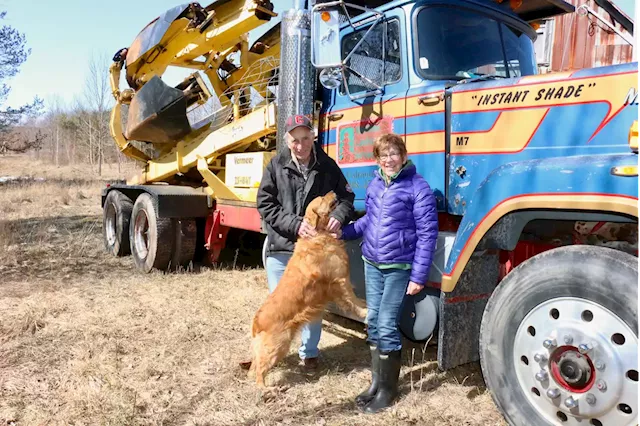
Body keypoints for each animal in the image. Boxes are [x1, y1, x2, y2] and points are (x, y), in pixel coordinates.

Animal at [249, 191, 364, 388]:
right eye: (323, 198)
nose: (333, 191)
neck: (319, 234)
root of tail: (257, 321)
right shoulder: (340, 281)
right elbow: (352, 299)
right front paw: (365, 311)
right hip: (278, 345)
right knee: (260, 370)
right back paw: (266, 389)